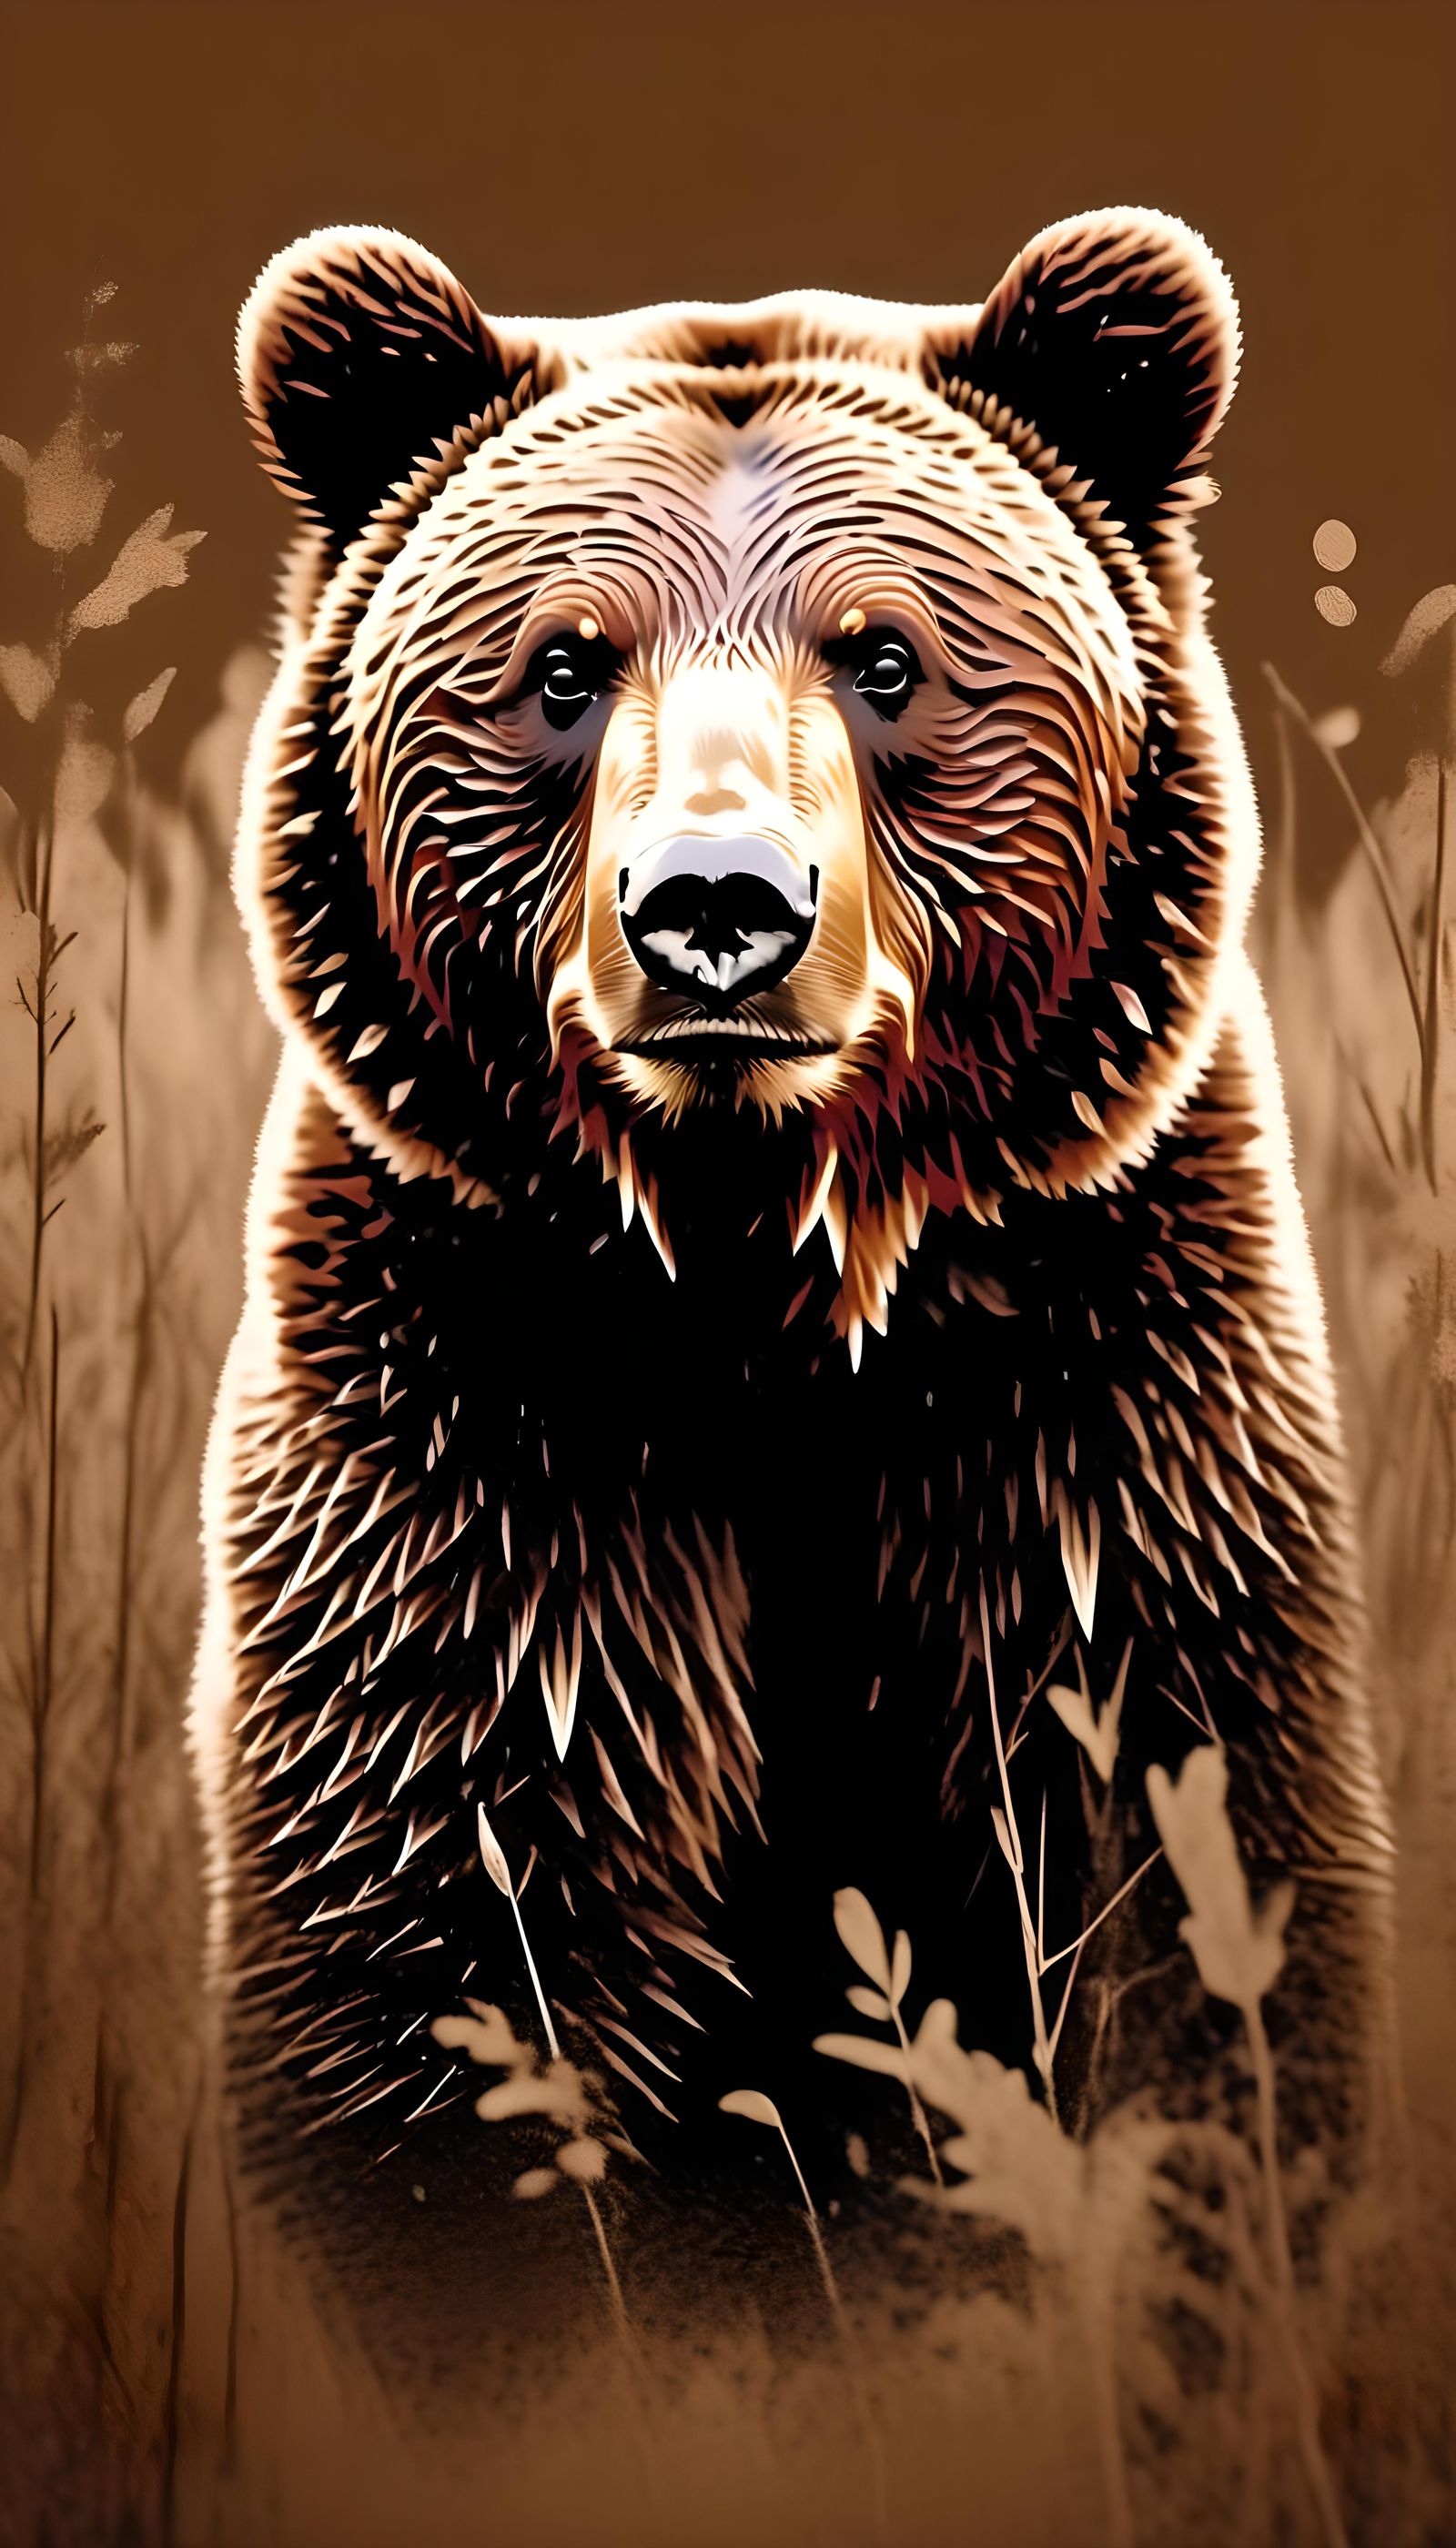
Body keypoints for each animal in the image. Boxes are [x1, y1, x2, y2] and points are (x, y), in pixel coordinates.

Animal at [191, 207, 1393, 2351]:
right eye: (564, 666)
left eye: (885, 652)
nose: (717, 908)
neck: (765, 1295)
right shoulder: (482, 1458)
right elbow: (433, 1973)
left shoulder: (1093, 1427)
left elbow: (1192, 1904)